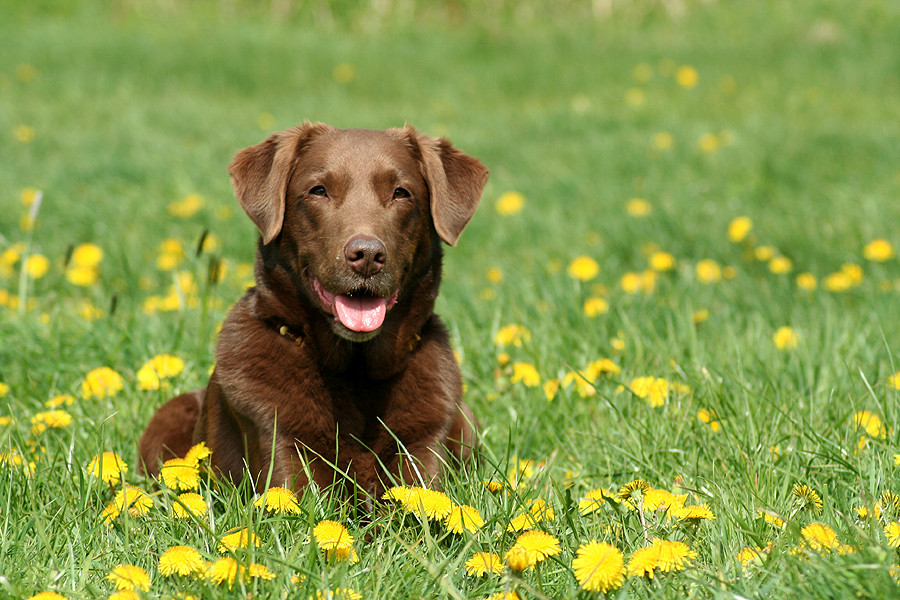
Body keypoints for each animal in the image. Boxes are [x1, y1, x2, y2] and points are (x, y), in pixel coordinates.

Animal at [140, 123, 488, 502]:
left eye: (401, 193)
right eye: (319, 191)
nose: (367, 255)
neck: (355, 374)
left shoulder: (422, 453)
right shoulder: (285, 460)